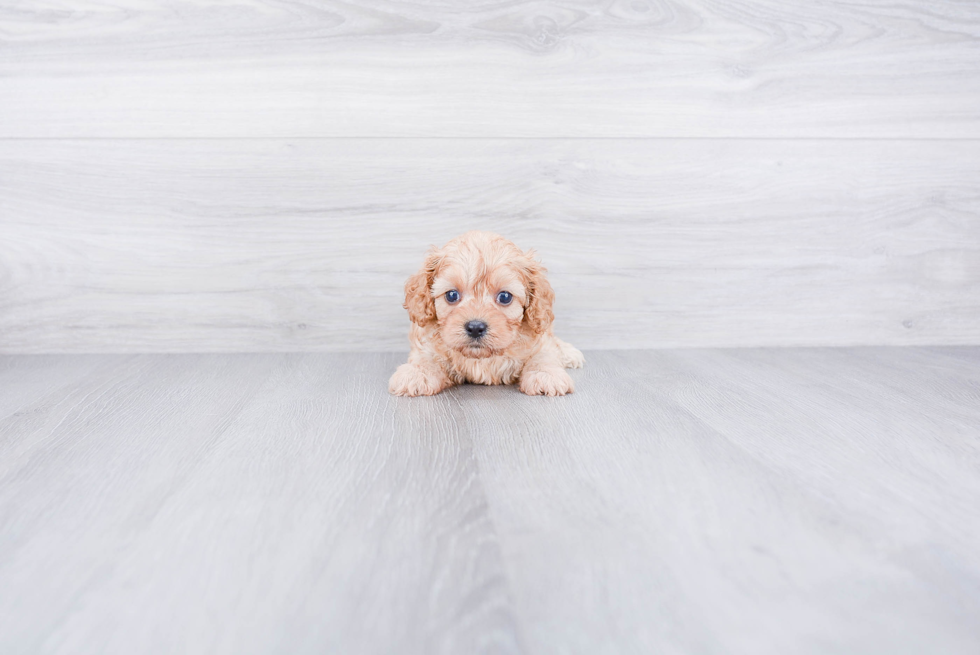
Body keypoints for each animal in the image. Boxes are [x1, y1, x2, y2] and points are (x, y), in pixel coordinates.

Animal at [386, 232, 580, 394]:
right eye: (451, 295)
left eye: (505, 297)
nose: (475, 327)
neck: (481, 357)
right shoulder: (425, 343)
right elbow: (426, 357)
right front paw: (417, 373)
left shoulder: (540, 340)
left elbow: (543, 355)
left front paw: (546, 375)